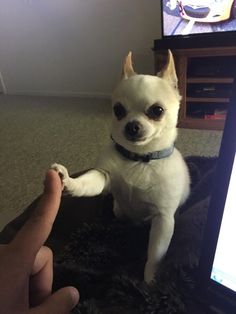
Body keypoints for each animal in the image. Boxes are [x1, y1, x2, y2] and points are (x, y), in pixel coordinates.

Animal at [51, 51, 190, 282]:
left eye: (157, 111)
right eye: (118, 110)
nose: (132, 125)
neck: (139, 159)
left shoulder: (163, 221)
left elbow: (155, 255)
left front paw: (150, 282)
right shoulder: (103, 176)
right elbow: (87, 183)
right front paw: (69, 182)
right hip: (119, 211)